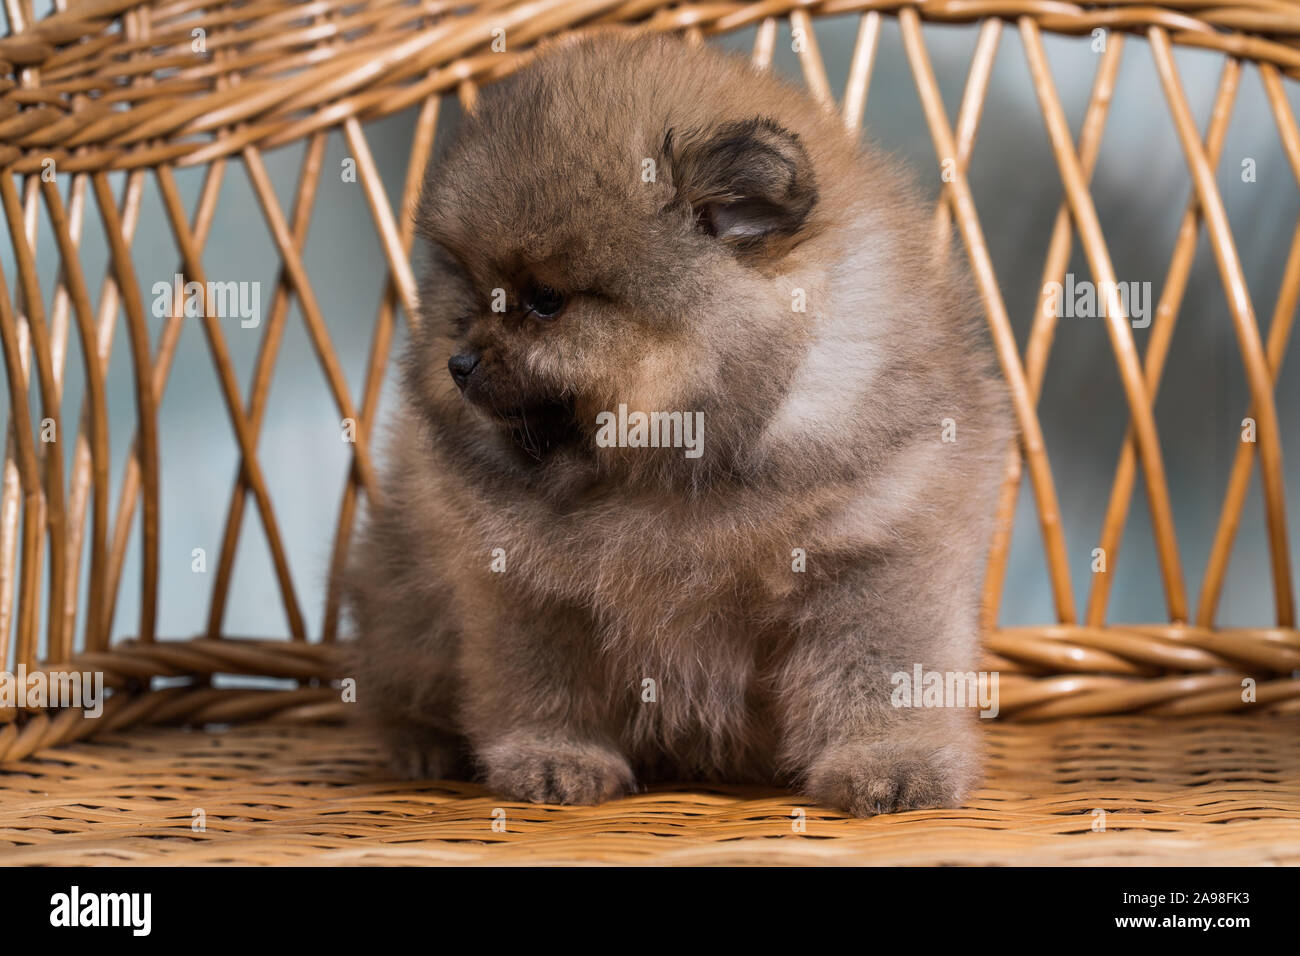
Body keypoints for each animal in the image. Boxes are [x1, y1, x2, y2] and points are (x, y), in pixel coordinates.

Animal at [348, 33, 1013, 816]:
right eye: (477, 297)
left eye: (546, 302)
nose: (459, 363)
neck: (676, 464)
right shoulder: (529, 585)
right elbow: (542, 683)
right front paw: (553, 758)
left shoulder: (872, 552)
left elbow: (881, 671)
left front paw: (892, 765)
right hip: (403, 604)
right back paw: (420, 747)